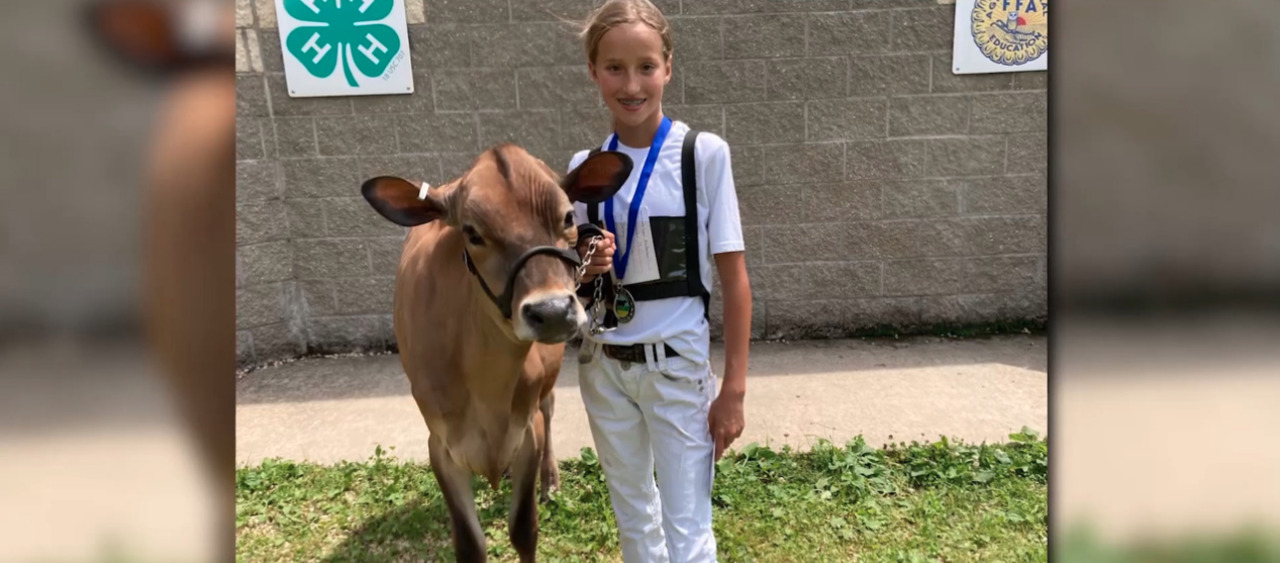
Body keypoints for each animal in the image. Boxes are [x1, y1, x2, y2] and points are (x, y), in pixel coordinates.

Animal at [360, 146, 629, 563]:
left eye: (569, 217)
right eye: (472, 233)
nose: (552, 311)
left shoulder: (528, 431)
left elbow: (524, 529)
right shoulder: (441, 446)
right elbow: (470, 545)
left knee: (550, 408)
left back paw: (550, 481)